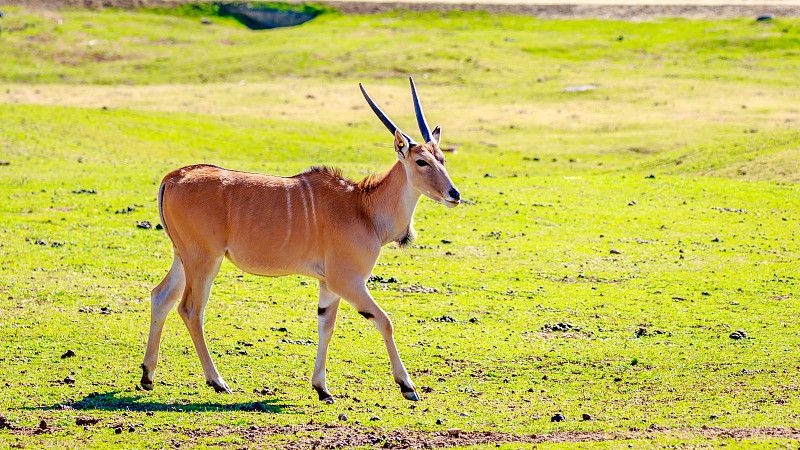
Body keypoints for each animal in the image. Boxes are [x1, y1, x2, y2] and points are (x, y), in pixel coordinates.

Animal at [141, 76, 460, 400]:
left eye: (442, 158)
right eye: (421, 162)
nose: (454, 194)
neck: (362, 207)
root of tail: (172, 178)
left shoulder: (328, 284)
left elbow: (326, 326)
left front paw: (322, 388)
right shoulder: (347, 280)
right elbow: (385, 321)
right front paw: (407, 385)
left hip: (184, 257)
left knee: (160, 296)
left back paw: (148, 375)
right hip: (204, 259)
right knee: (191, 309)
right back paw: (217, 381)